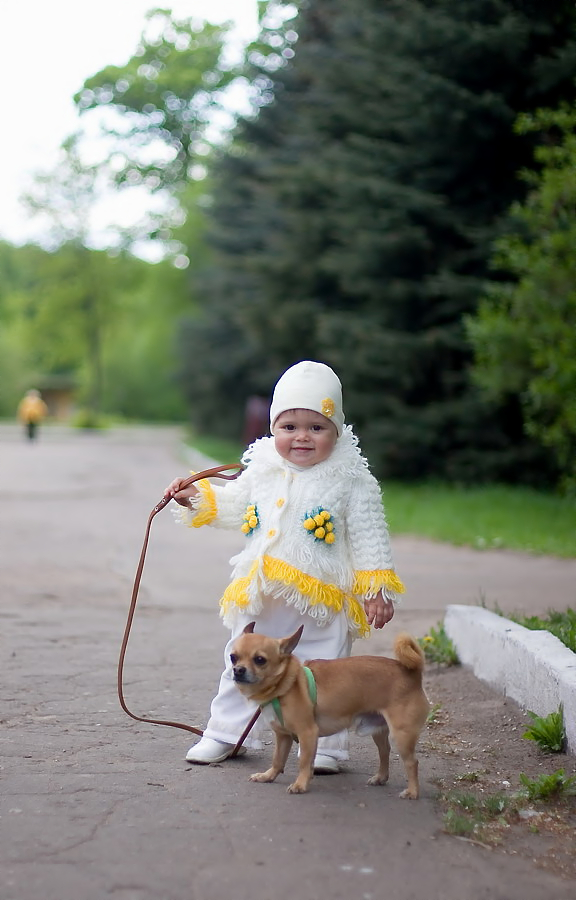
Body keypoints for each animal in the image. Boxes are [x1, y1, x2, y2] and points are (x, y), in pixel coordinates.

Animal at [232, 624, 430, 796]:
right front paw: (268, 776)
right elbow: (278, 759)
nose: (238, 670)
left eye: (260, 660)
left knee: (412, 762)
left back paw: (413, 792)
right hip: (379, 732)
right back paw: (380, 777)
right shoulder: (283, 736)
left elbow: (304, 762)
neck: (285, 686)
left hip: (402, 735)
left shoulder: (308, 733)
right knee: (385, 752)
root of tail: (412, 673)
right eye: (233, 657)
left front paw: (300, 784)